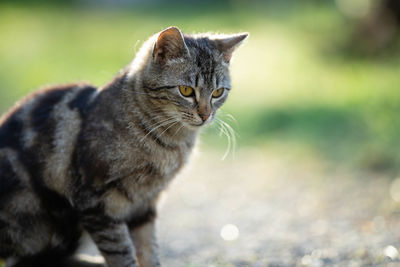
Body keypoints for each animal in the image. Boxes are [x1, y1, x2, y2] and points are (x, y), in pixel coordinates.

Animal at [0, 25, 248, 267]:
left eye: (218, 92)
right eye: (186, 91)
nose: (206, 115)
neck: (169, 142)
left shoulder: (145, 204)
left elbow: (148, 249)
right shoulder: (98, 204)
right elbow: (121, 252)